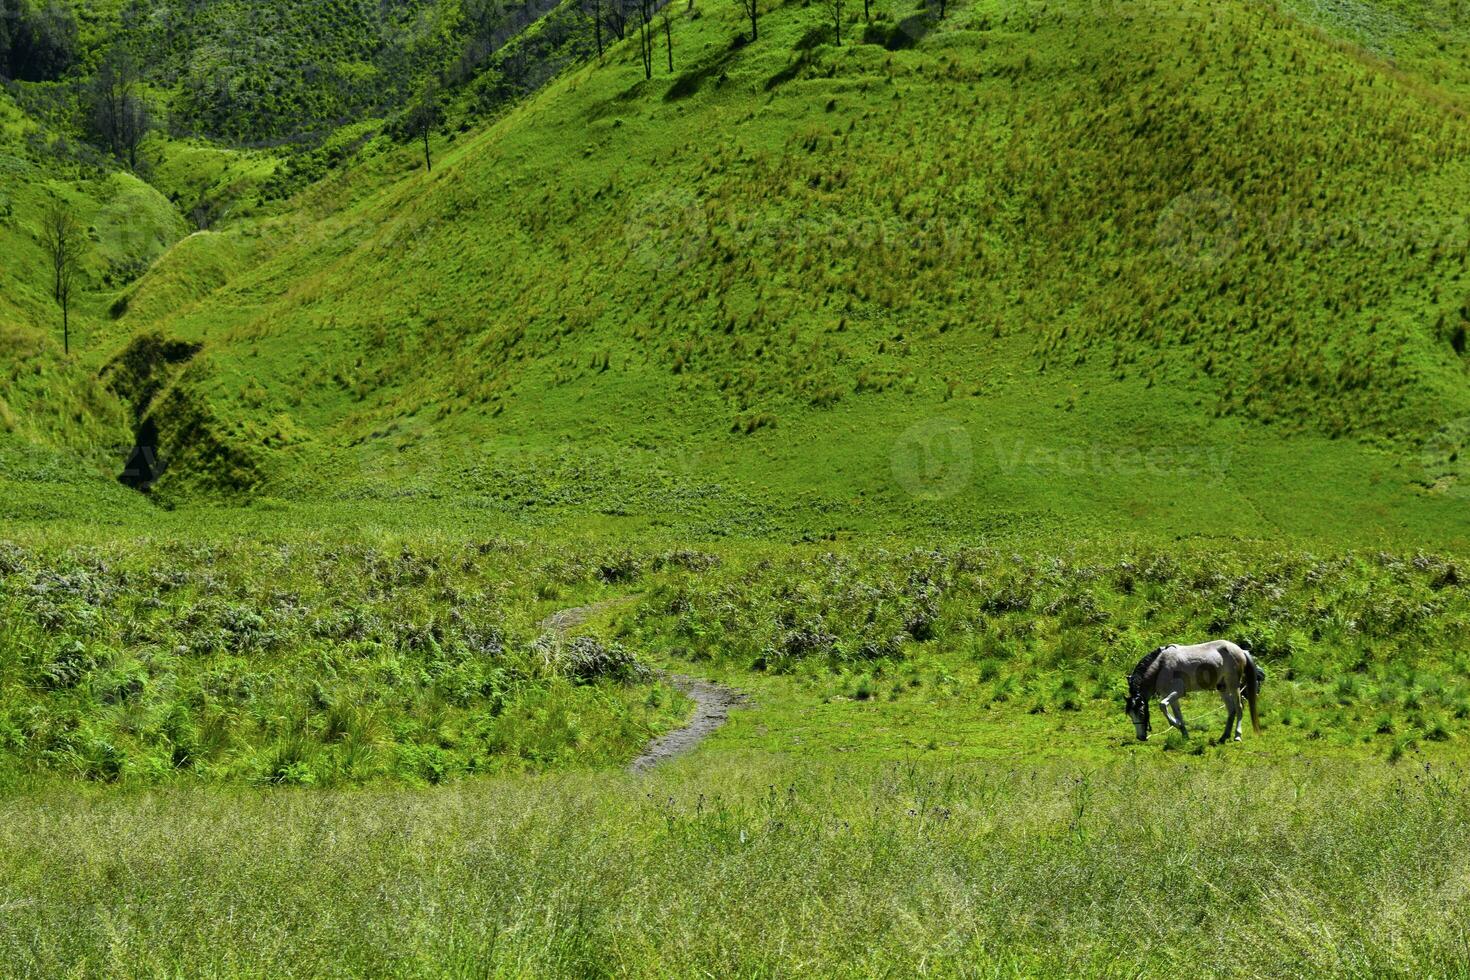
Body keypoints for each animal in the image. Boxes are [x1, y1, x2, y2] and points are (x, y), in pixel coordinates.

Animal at [1123, 643, 1264, 743]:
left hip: (1233, 686)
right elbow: (1177, 714)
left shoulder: (1177, 692)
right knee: (1231, 710)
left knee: (1239, 708)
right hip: (1222, 687)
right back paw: (1224, 737)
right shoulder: (1171, 696)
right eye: (1130, 714)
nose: (1141, 737)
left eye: (1141, 713)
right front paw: (1184, 734)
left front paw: (1176, 724)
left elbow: (1162, 705)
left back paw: (1237, 736)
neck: (1161, 666)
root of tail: (1241, 650)